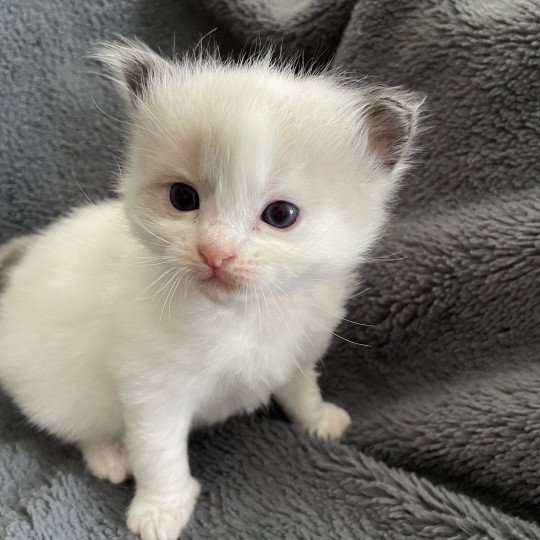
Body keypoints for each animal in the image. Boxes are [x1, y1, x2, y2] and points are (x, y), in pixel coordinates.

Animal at [0, 39, 422, 540]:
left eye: (281, 215)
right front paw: (161, 510)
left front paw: (318, 420)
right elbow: (158, 451)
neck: (245, 316)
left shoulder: (296, 354)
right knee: (79, 427)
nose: (214, 253)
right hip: (63, 391)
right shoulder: (151, 386)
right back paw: (109, 456)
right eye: (183, 198)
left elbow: (302, 391)